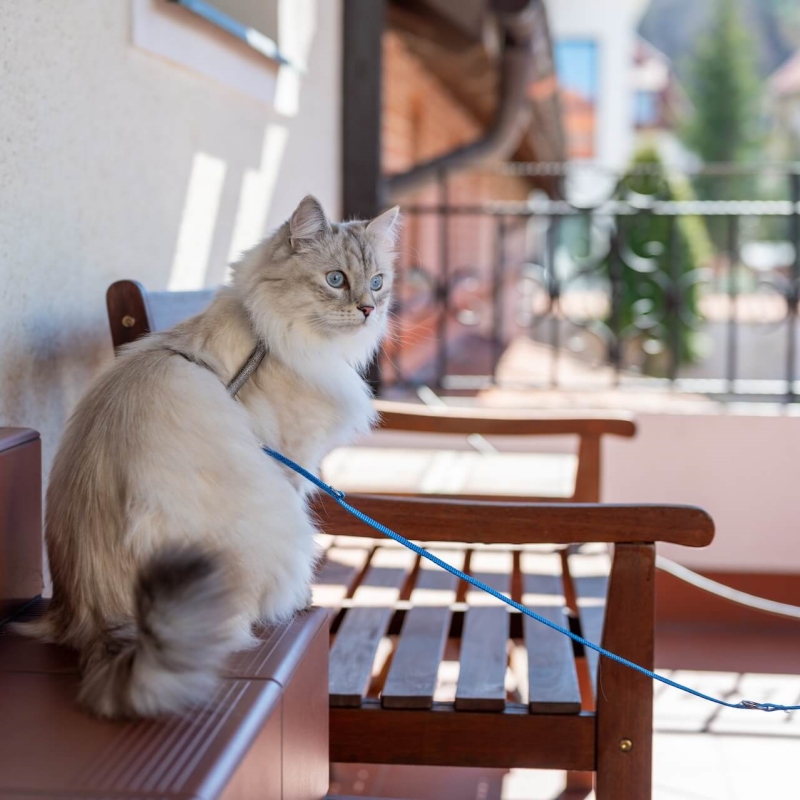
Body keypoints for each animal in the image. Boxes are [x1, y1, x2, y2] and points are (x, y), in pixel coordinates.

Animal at [21, 195, 400, 720]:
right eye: (336, 280)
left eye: (378, 282)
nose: (368, 309)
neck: (268, 338)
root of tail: (101, 625)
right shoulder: (291, 463)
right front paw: (305, 598)